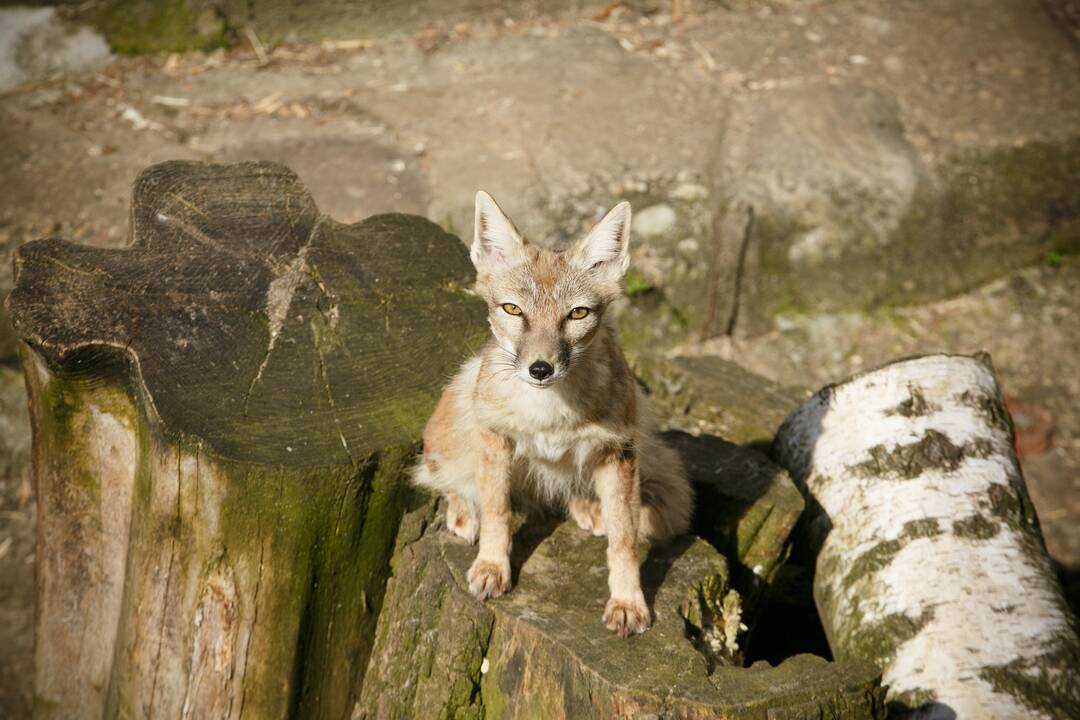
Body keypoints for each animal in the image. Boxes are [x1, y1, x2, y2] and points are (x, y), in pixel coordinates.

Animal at [412, 191, 691, 634]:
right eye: (513, 309)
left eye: (577, 313)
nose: (540, 369)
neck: (549, 414)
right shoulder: (495, 437)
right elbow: (497, 510)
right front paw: (492, 566)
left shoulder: (621, 451)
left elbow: (625, 539)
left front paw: (628, 600)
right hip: (463, 401)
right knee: (445, 476)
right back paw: (463, 509)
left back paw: (586, 505)